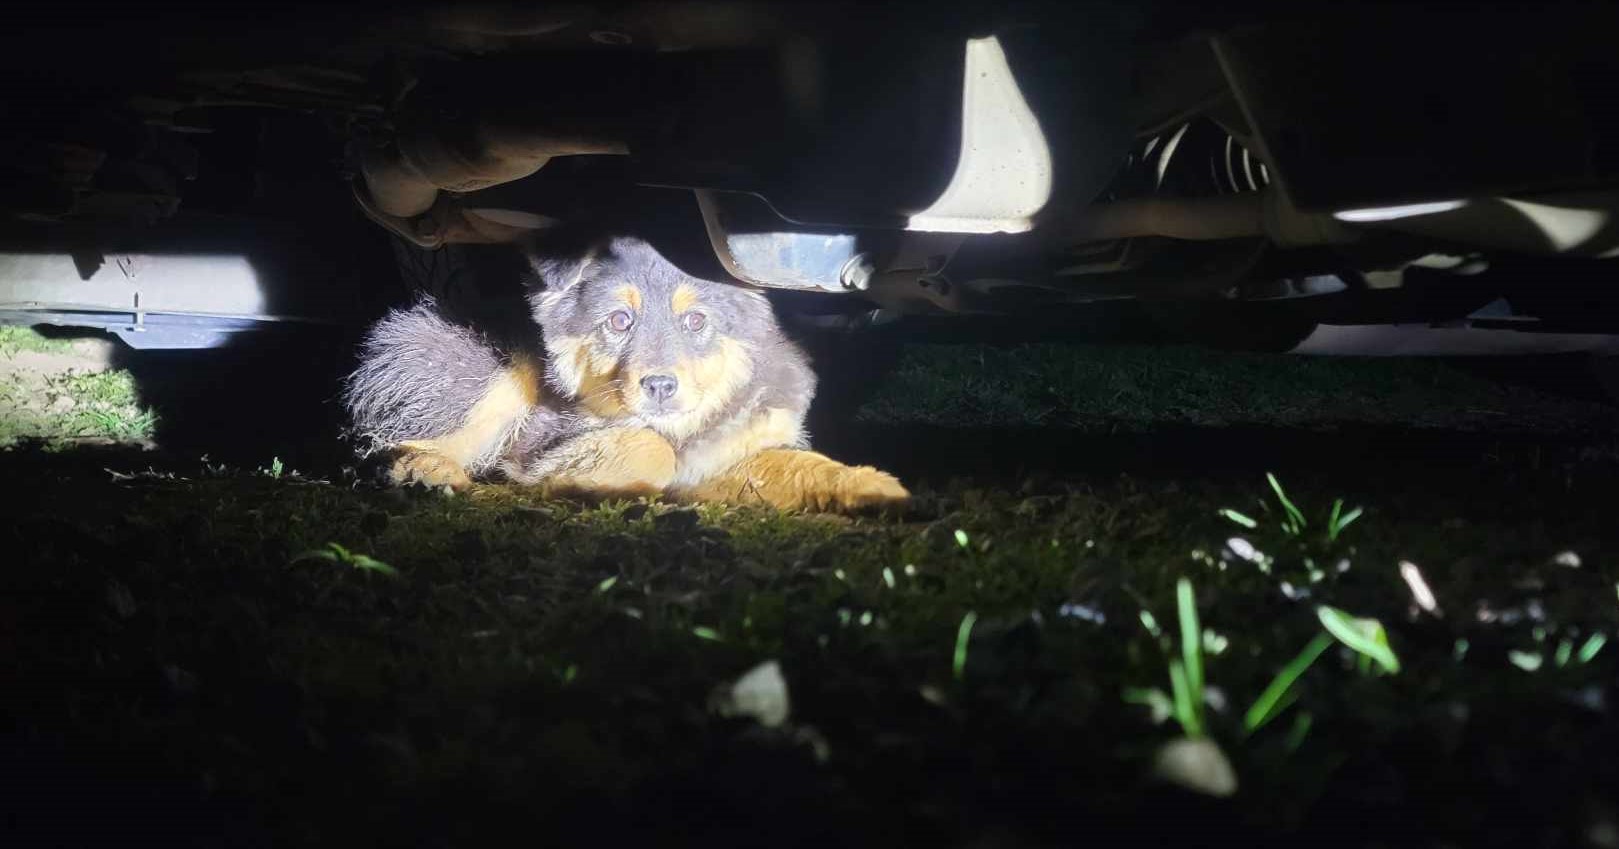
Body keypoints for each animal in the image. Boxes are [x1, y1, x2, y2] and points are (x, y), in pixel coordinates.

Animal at [338, 233, 913, 511]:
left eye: (696, 321)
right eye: (619, 320)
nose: (659, 386)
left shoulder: (731, 450)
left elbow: (799, 463)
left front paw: (870, 487)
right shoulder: (548, 435)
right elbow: (647, 446)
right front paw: (583, 482)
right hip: (500, 371)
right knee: (400, 439)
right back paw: (425, 470)